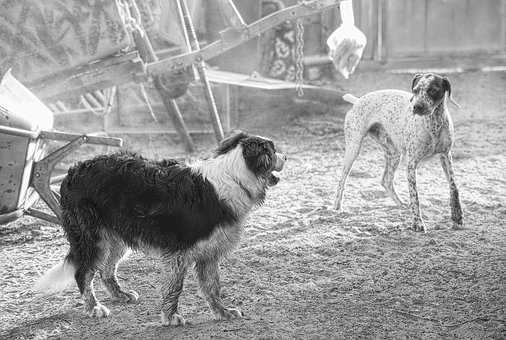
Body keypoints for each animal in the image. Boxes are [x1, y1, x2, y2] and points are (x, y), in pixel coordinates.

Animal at [33, 131, 286, 326]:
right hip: (93, 238)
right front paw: (170, 317)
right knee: (83, 273)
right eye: (272, 151)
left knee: (106, 270)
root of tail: (72, 172)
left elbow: (212, 287)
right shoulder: (178, 252)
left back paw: (121, 295)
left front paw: (222, 312)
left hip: (116, 238)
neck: (235, 176)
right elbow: (175, 288)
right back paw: (94, 308)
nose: (285, 156)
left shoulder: (209, 253)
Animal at [334, 71, 464, 231]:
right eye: (415, 90)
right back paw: (337, 207)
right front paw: (417, 223)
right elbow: (415, 196)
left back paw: (401, 204)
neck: (433, 124)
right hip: (353, 149)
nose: (417, 107)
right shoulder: (411, 165)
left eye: (433, 90)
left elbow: (454, 186)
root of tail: (357, 101)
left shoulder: (446, 156)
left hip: (394, 154)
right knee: (342, 180)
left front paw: (457, 215)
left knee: (386, 180)